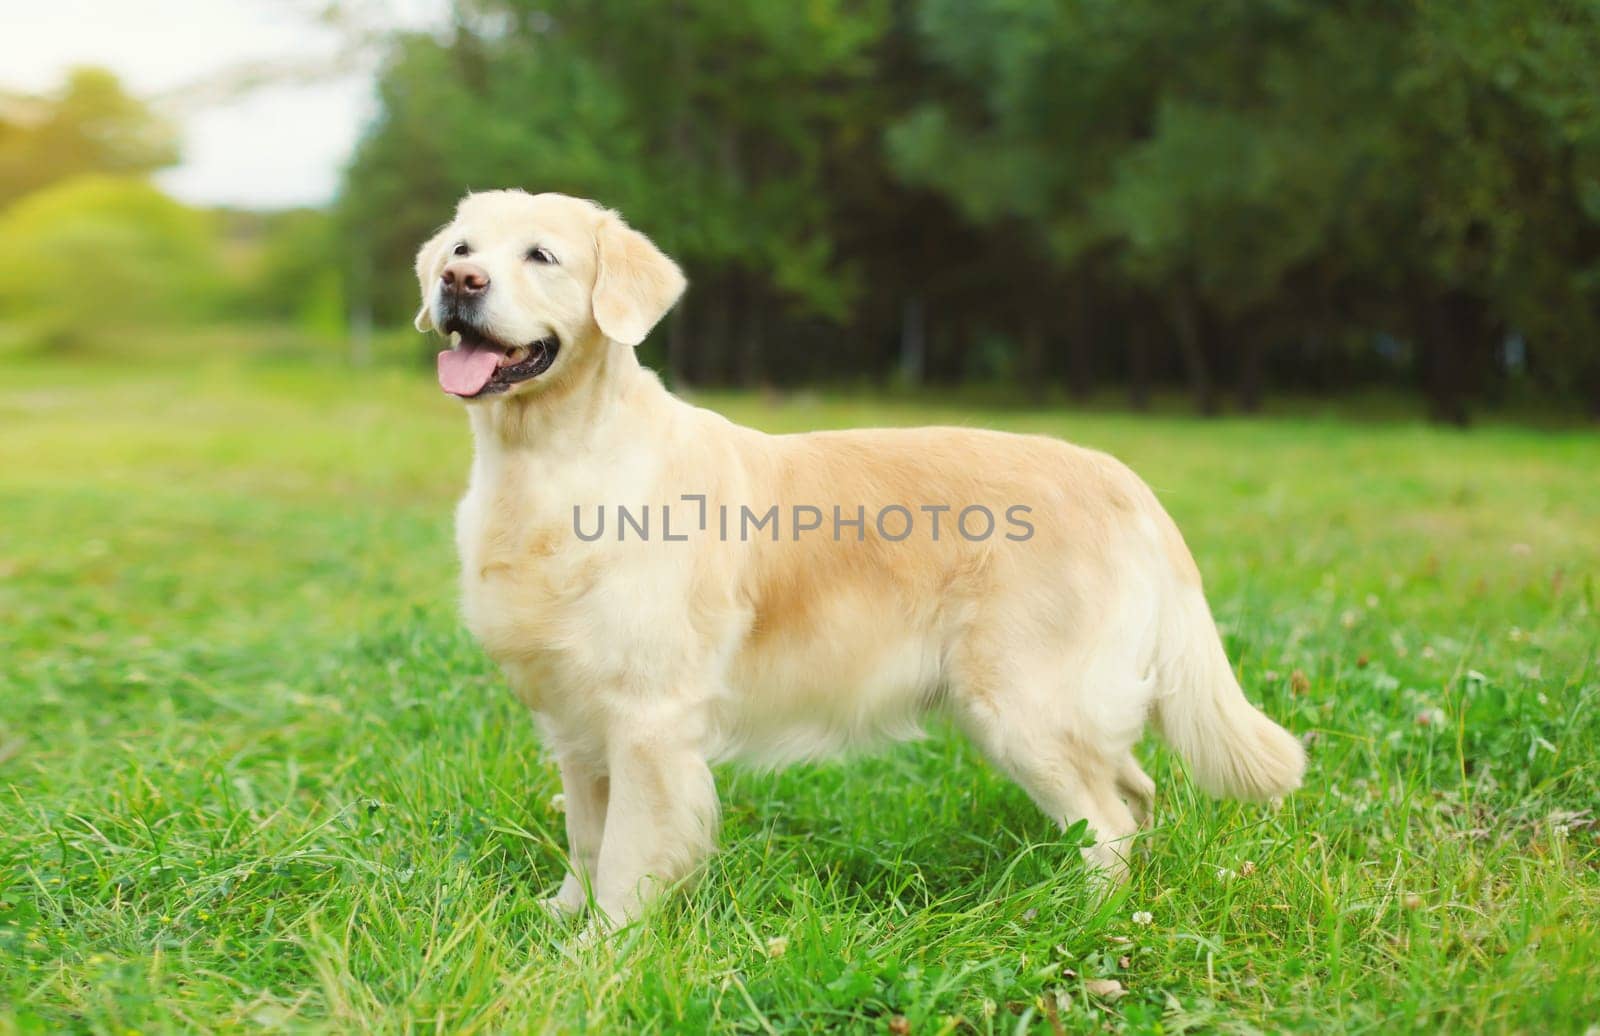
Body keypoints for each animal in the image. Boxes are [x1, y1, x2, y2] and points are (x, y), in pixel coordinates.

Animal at [412, 190, 1299, 933]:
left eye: (541, 255)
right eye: (462, 246)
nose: (458, 281)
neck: (550, 460)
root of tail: (1120, 476)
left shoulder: (648, 718)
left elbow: (629, 853)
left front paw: (603, 948)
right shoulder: (573, 719)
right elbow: (586, 837)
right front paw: (564, 914)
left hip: (1025, 706)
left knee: (1109, 825)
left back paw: (1080, 922)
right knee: (1136, 795)